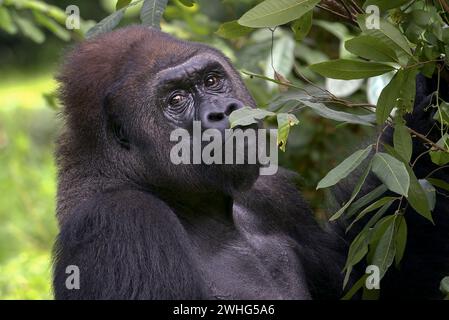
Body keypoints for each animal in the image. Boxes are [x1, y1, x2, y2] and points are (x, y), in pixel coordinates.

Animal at [53, 25, 448, 300]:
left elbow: (360, 282)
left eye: (212, 80)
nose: (223, 111)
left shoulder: (272, 194)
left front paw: (427, 107)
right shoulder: (123, 221)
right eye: (176, 99)